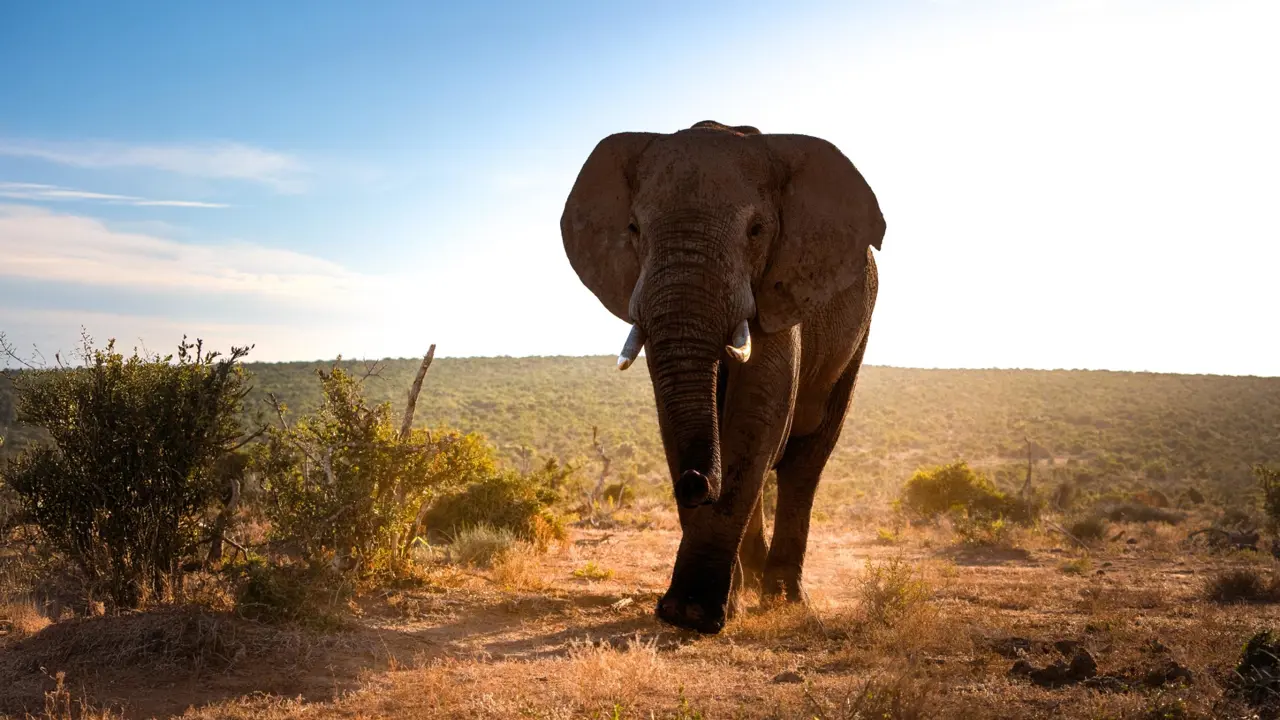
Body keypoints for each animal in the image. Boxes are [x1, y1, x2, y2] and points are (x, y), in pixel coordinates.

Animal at [560, 119, 885, 634]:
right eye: (633, 229)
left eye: (756, 230)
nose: (696, 482)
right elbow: (680, 417)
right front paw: (699, 611)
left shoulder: (778, 283)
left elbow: (759, 411)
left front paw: (694, 615)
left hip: (858, 331)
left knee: (805, 458)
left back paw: (784, 599)